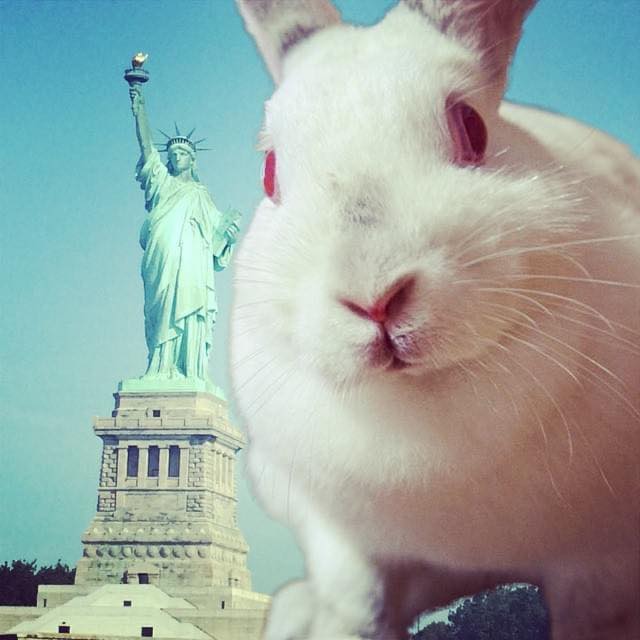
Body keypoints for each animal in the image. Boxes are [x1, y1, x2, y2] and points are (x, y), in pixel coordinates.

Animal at [231, 1, 640, 638]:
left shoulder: (603, 565)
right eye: (270, 171)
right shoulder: (345, 548)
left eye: (472, 127)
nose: (373, 297)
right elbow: (360, 610)